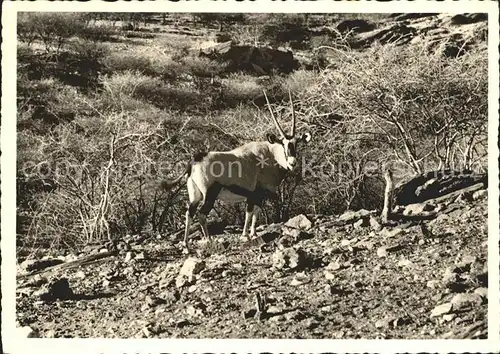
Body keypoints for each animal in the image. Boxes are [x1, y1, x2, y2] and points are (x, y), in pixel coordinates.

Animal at [164, 90, 310, 252]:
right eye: (283, 144)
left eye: (296, 144)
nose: (292, 163)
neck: (270, 154)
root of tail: (195, 159)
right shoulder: (254, 194)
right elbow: (249, 213)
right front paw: (245, 236)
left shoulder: (260, 195)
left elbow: (256, 212)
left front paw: (253, 234)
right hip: (209, 195)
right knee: (201, 214)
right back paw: (208, 240)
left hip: (195, 195)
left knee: (189, 213)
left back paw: (186, 245)